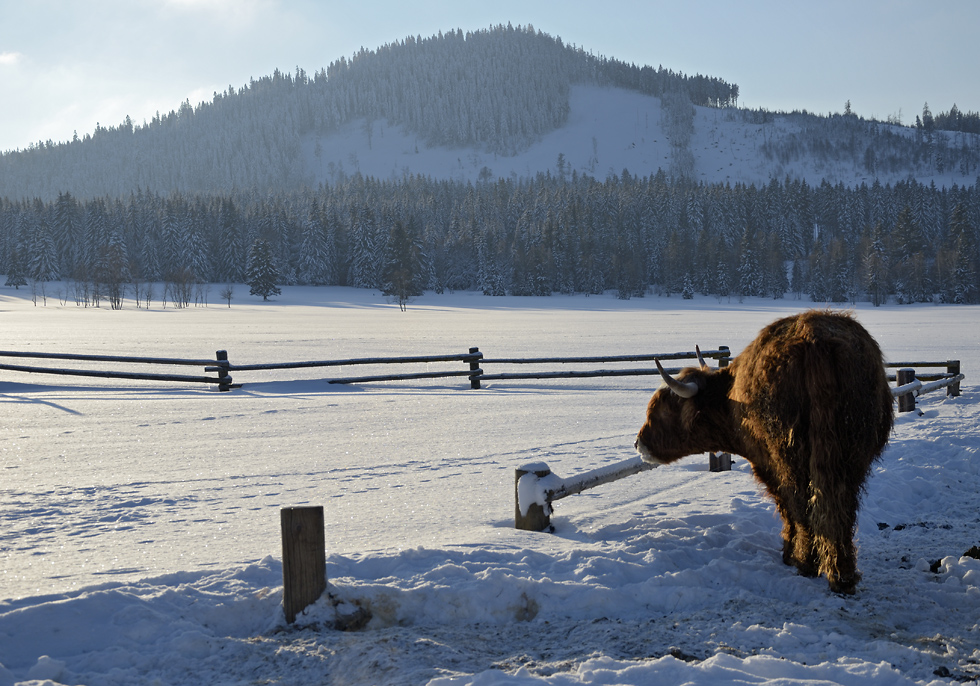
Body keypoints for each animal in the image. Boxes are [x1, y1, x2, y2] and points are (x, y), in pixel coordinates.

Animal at [636, 314, 896, 596]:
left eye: (662, 410)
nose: (638, 444)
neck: (730, 400)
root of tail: (817, 341)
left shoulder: (766, 464)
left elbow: (785, 508)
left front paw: (790, 552)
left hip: (791, 456)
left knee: (802, 503)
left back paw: (805, 562)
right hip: (851, 454)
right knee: (841, 507)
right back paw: (843, 575)